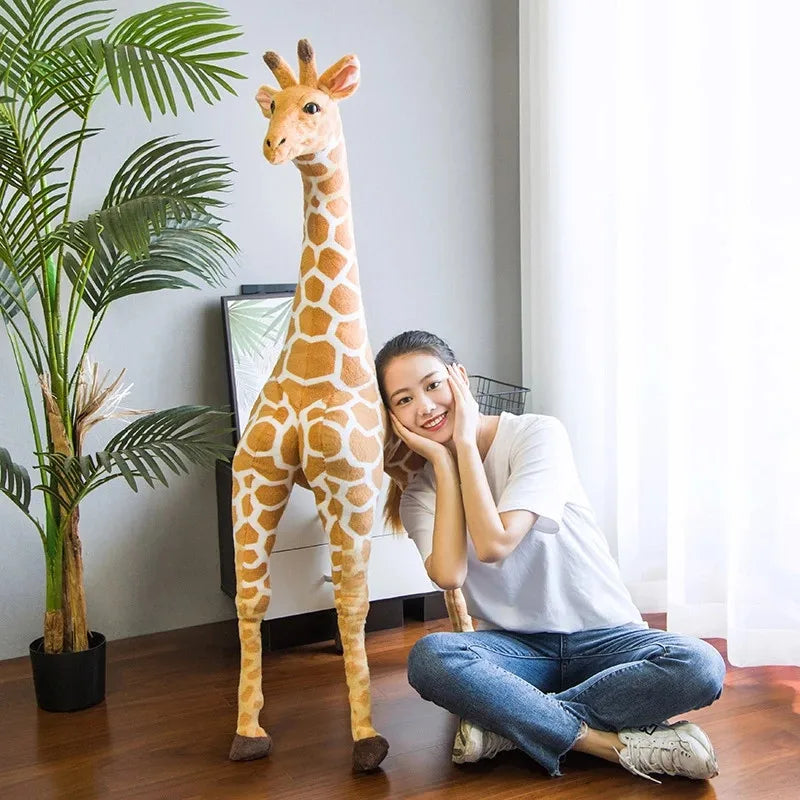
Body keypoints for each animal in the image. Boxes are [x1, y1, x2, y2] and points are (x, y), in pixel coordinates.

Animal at [229, 39, 473, 773]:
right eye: (271, 105)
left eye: (313, 105)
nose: (274, 145)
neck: (312, 364)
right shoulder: (254, 479)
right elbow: (253, 598)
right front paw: (247, 731)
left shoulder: (348, 488)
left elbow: (353, 604)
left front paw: (366, 741)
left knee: (447, 577)